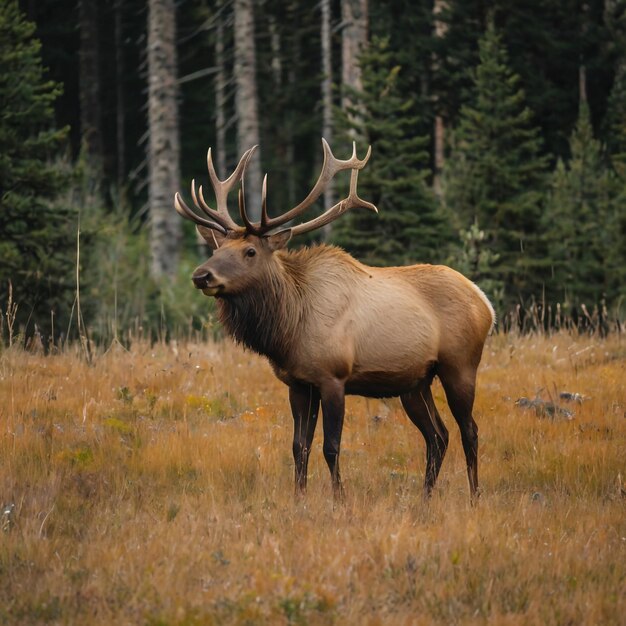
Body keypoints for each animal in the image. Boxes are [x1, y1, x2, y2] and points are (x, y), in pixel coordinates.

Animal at [174, 139, 492, 500]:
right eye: (216, 249)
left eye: (250, 251)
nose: (201, 276)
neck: (289, 327)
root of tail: (485, 302)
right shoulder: (299, 383)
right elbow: (299, 446)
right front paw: (299, 499)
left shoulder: (334, 378)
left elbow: (331, 446)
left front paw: (339, 499)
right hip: (415, 383)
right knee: (438, 436)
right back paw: (425, 498)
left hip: (460, 366)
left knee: (469, 431)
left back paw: (474, 496)